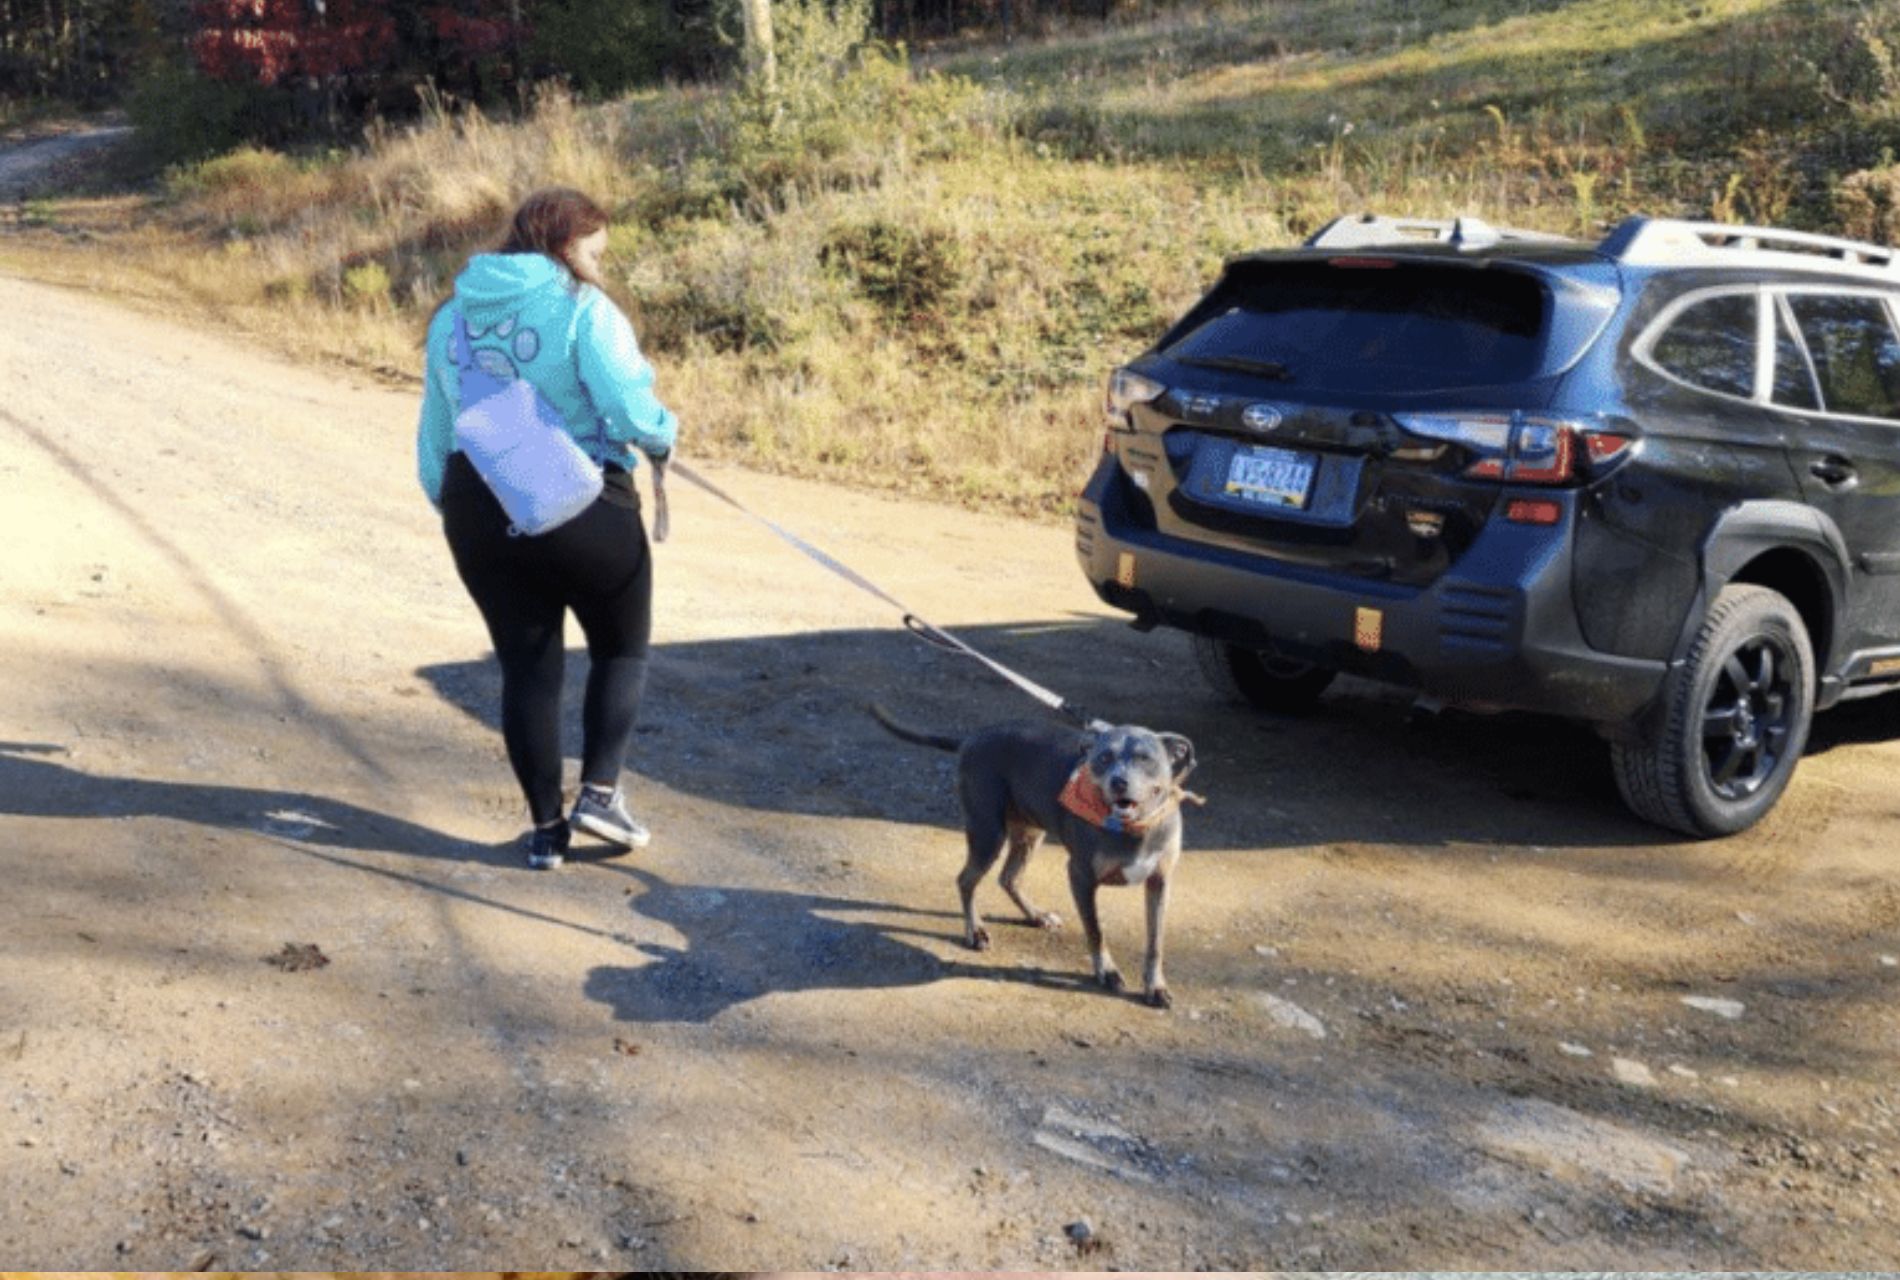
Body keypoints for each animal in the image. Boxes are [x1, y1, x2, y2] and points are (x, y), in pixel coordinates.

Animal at [874, 702, 1200, 1002]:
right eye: (1104, 758)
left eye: (1146, 759)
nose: (1119, 782)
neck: (1136, 828)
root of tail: (973, 737)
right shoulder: (1080, 876)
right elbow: (1096, 931)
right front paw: (1106, 972)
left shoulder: (1160, 882)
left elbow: (1155, 941)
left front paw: (1155, 986)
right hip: (988, 833)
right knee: (966, 880)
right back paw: (975, 931)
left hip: (1029, 833)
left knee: (1009, 878)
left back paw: (1036, 916)